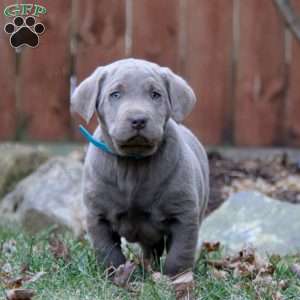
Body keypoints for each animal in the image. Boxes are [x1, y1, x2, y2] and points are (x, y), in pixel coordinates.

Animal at [71, 58, 210, 276]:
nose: (138, 120)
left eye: (155, 95)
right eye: (115, 94)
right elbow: (108, 252)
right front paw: (116, 275)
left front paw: (176, 278)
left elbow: (180, 253)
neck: (132, 164)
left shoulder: (184, 215)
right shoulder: (98, 216)